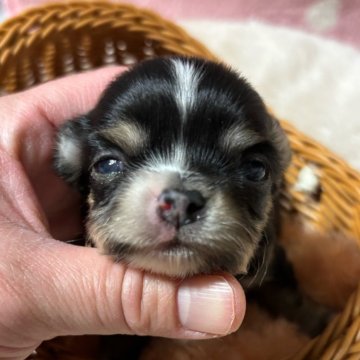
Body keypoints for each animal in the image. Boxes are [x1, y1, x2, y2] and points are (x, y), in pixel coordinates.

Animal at [52, 56, 330, 352]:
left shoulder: (273, 257)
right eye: (107, 164)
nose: (180, 201)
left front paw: (321, 321)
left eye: (255, 169)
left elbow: (288, 293)